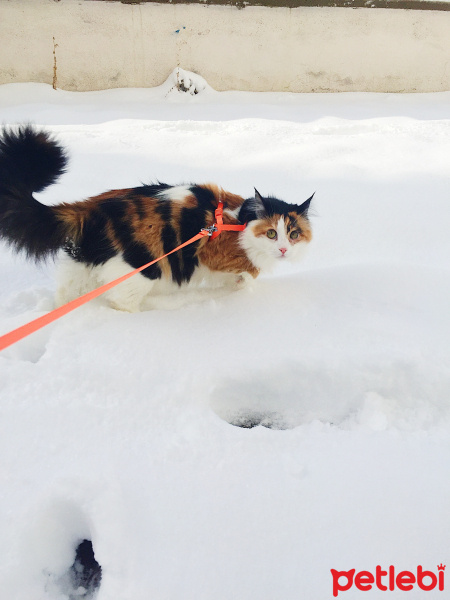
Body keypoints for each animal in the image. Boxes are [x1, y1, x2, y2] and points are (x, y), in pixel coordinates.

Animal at [0, 127, 312, 314]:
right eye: (271, 233)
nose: (283, 249)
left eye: (294, 234)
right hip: (140, 269)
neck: (240, 221)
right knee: (121, 302)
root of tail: (90, 207)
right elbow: (246, 274)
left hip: (80, 269)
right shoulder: (211, 254)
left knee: (66, 295)